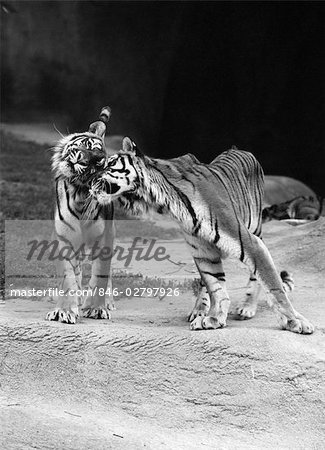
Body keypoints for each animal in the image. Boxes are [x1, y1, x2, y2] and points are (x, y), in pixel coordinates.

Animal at [46, 105, 114, 324]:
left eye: (98, 161)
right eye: (86, 146)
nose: (87, 161)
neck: (81, 193)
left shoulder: (104, 239)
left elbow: (100, 275)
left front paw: (97, 309)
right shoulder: (63, 239)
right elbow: (68, 278)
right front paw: (65, 311)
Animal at [86, 139, 314, 336]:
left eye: (109, 164)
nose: (89, 179)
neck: (162, 200)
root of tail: (238, 149)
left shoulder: (249, 242)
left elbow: (274, 285)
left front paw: (296, 322)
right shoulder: (202, 250)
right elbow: (215, 286)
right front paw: (214, 318)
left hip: (255, 227)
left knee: (255, 276)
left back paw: (247, 307)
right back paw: (200, 310)